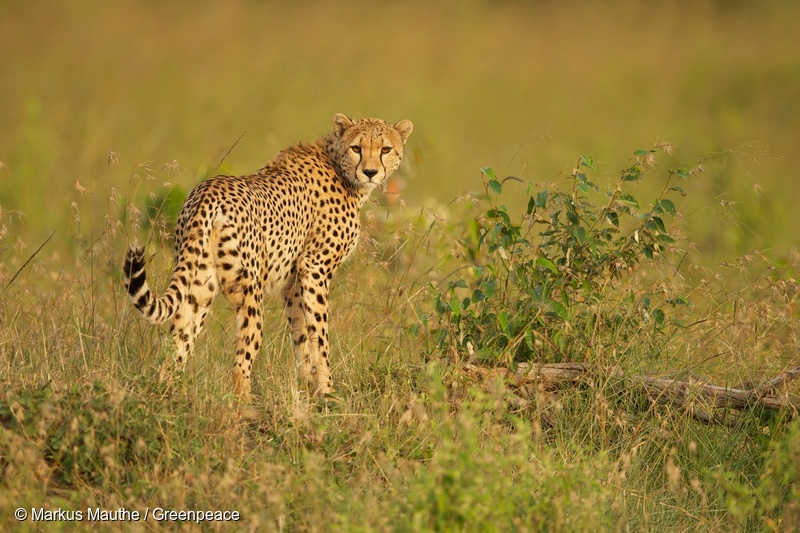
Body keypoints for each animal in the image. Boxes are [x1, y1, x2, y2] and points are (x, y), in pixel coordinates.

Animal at [126, 115, 412, 400]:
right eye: (356, 148)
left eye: (385, 149)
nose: (370, 172)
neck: (339, 166)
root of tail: (208, 191)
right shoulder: (314, 268)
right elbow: (320, 336)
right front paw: (328, 392)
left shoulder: (292, 283)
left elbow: (301, 335)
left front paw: (308, 389)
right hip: (250, 292)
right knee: (240, 364)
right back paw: (245, 405)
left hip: (199, 287)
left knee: (175, 350)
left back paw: (167, 395)